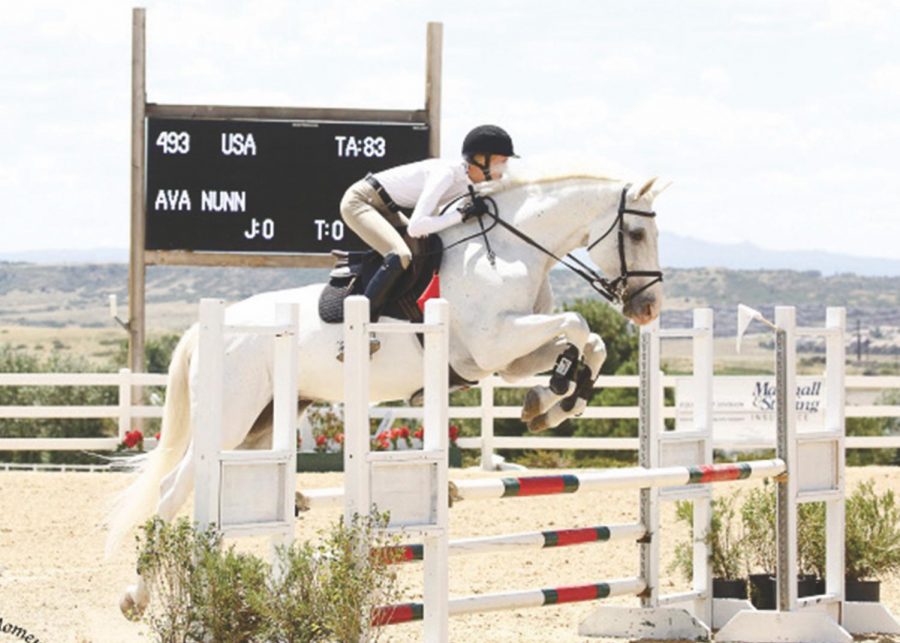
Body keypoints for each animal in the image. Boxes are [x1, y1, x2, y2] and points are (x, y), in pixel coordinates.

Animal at [109, 174, 664, 616]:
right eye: (636, 233)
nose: (649, 308)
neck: (509, 253)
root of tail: (207, 328)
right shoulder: (494, 343)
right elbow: (578, 324)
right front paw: (558, 395)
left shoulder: (507, 359)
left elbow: (586, 342)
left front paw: (556, 401)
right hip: (231, 414)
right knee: (173, 489)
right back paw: (141, 595)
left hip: (263, 424)